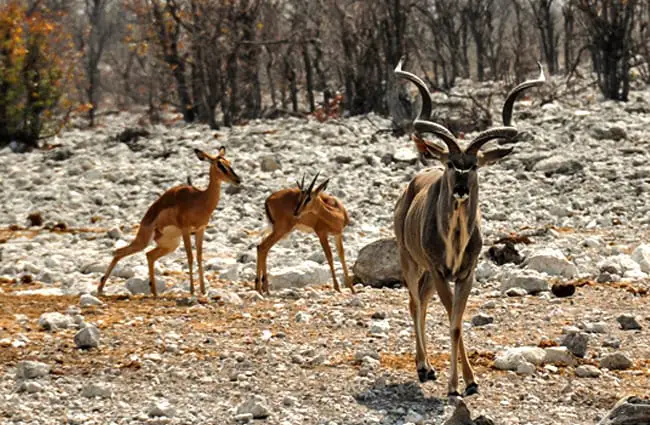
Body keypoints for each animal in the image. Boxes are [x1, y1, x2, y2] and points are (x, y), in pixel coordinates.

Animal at [95, 147, 239, 296]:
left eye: (229, 162)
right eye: (220, 165)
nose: (237, 180)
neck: (200, 199)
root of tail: (145, 219)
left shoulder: (201, 229)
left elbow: (199, 257)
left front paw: (203, 290)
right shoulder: (186, 230)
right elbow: (190, 256)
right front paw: (192, 290)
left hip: (170, 245)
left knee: (149, 255)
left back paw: (154, 293)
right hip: (145, 241)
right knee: (119, 252)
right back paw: (100, 289)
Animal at [392, 58, 544, 396]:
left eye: (473, 165)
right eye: (451, 163)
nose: (461, 189)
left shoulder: (465, 273)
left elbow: (457, 323)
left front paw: (471, 382)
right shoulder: (440, 272)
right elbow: (452, 319)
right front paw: (453, 386)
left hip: (426, 273)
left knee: (422, 303)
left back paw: (429, 367)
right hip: (409, 261)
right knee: (413, 303)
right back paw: (423, 367)